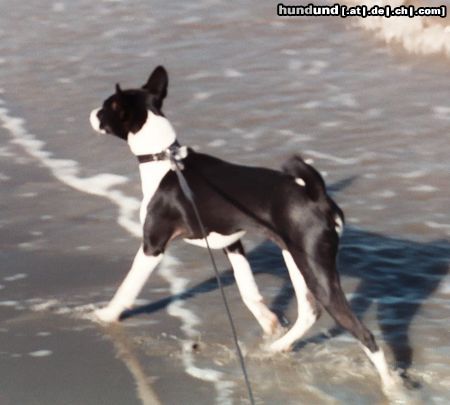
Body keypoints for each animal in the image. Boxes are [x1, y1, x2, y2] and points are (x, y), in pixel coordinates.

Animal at [89, 65, 396, 388]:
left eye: (107, 107)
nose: (92, 113)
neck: (165, 159)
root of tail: (318, 196)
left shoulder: (153, 244)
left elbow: (127, 287)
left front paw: (104, 316)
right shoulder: (231, 243)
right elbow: (248, 289)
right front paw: (270, 325)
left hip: (316, 270)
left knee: (363, 333)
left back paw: (391, 386)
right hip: (296, 259)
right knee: (309, 312)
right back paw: (277, 347)